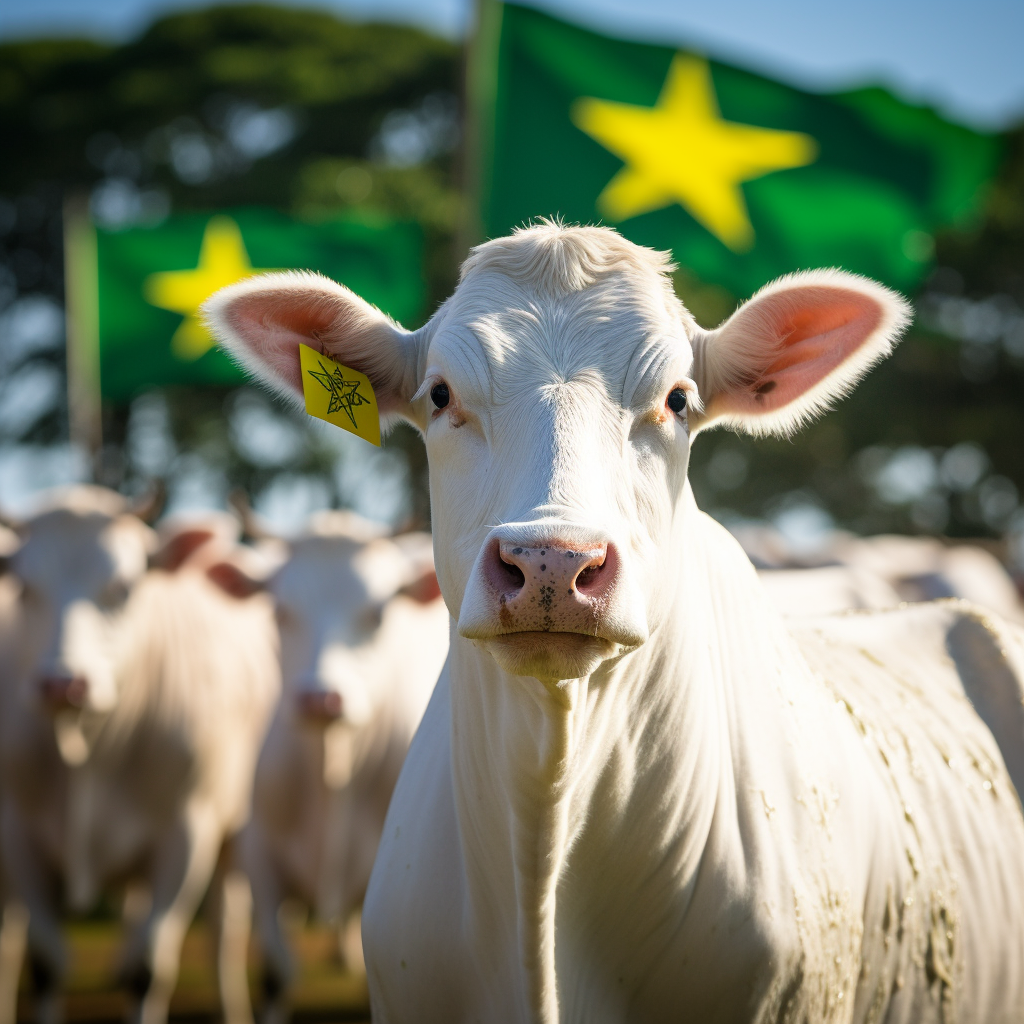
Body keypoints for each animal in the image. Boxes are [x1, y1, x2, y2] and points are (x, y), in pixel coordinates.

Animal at [0, 487, 280, 1024]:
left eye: (123, 588)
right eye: (24, 588)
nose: (63, 684)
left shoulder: (185, 832)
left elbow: (148, 969)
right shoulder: (18, 834)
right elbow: (46, 962)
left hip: (235, 830)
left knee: (223, 932)